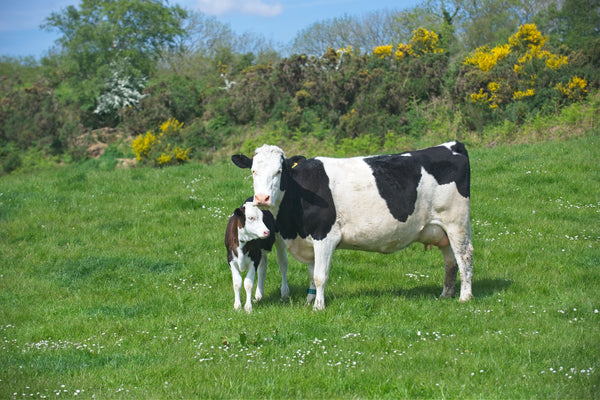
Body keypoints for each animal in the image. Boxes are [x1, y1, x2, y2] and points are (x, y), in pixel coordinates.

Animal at [232, 142, 476, 310]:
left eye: (279, 171)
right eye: (253, 171)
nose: (262, 198)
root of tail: (451, 146)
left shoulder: (324, 236)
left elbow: (320, 275)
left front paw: (318, 306)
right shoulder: (308, 240)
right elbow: (311, 272)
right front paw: (310, 298)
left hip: (456, 223)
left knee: (464, 255)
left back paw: (465, 296)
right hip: (441, 230)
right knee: (450, 260)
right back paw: (446, 294)